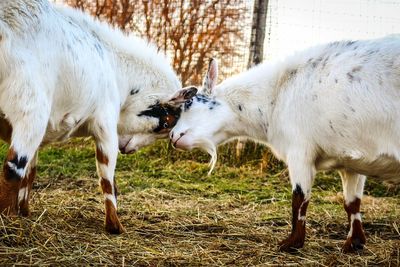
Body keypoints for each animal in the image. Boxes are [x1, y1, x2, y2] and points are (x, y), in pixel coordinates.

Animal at [0, 0, 181, 234]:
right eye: (165, 124)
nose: (128, 149)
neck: (115, 65)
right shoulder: (105, 124)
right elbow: (108, 177)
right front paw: (114, 226)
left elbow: (30, 173)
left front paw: (23, 212)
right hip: (30, 110)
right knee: (12, 168)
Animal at [165, 36, 400, 253]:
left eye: (188, 103)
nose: (173, 136)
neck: (276, 94)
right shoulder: (351, 161)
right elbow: (352, 203)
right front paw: (354, 243)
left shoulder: (299, 151)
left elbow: (299, 198)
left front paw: (292, 243)